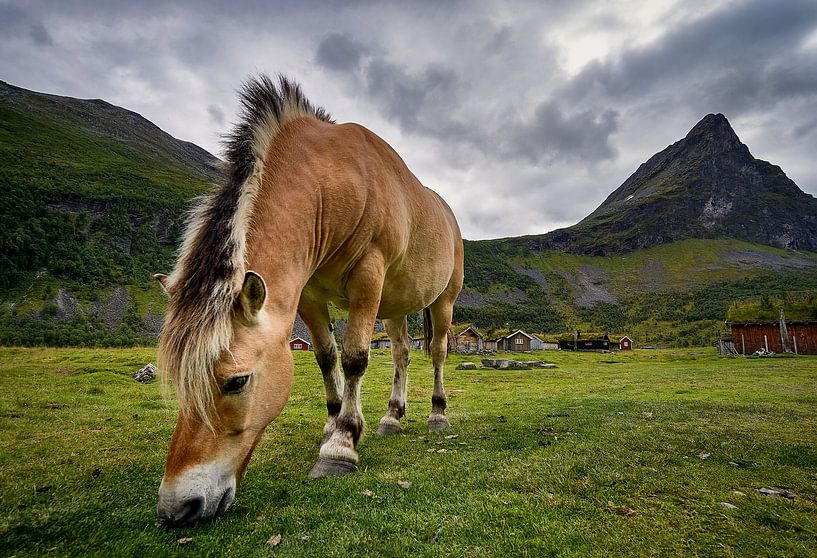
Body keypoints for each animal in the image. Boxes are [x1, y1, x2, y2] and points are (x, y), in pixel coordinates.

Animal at [154, 75, 464, 525]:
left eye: (237, 381)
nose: (178, 507)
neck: (334, 180)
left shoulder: (367, 278)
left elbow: (354, 358)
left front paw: (341, 446)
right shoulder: (310, 294)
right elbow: (326, 357)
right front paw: (335, 424)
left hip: (443, 302)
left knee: (438, 352)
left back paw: (437, 415)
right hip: (394, 308)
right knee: (403, 353)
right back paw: (392, 417)